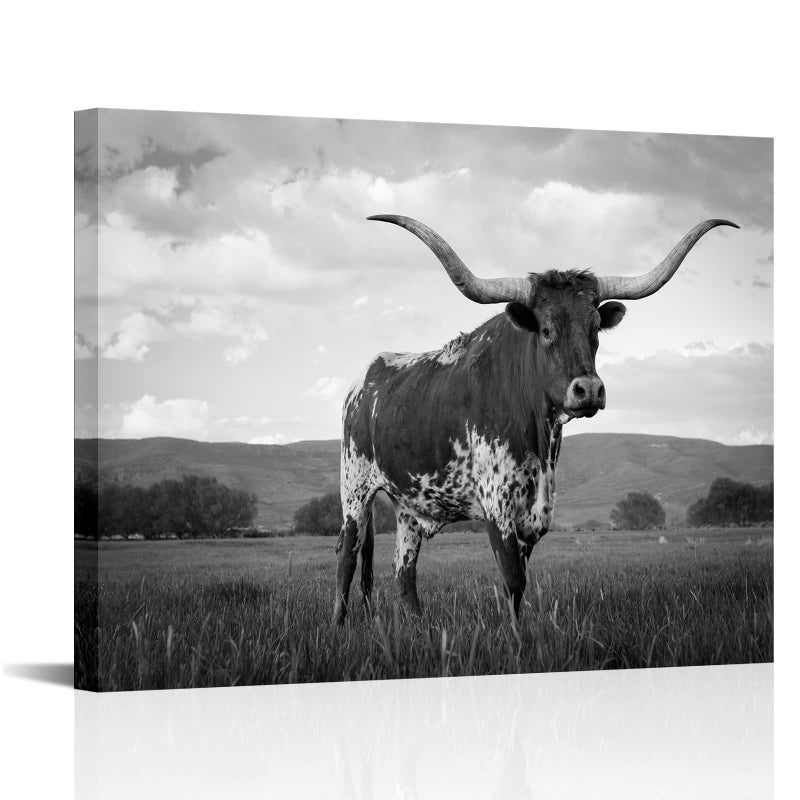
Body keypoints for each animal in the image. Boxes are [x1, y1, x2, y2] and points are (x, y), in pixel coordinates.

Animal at [333, 214, 737, 624]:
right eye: (545, 329)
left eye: (595, 328)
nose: (589, 390)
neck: (538, 437)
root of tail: (363, 380)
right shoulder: (496, 501)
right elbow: (512, 578)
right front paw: (515, 635)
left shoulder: (536, 510)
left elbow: (520, 582)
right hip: (355, 490)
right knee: (347, 559)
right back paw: (339, 625)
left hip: (409, 506)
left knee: (404, 569)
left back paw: (419, 625)